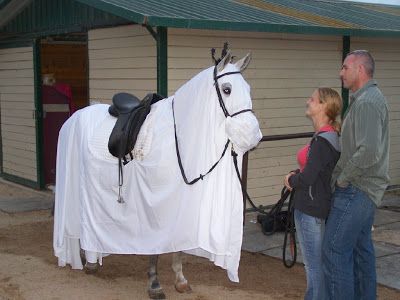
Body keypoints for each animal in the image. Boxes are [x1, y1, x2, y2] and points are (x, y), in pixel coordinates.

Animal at [54, 49, 262, 298]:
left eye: (249, 89)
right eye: (227, 89)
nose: (252, 134)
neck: (177, 138)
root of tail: (75, 117)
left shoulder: (180, 207)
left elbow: (177, 245)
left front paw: (180, 280)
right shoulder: (154, 206)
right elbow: (155, 248)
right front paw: (154, 284)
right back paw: (89, 260)